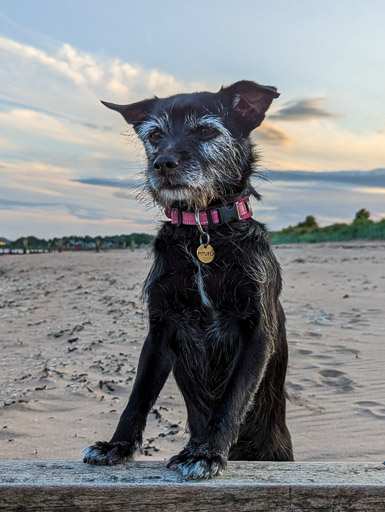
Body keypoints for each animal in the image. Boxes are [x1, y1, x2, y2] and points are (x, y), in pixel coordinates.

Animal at [84, 80, 292, 480]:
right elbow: (138, 396)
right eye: (155, 135)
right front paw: (117, 445)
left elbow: (233, 396)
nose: (162, 163)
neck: (202, 232)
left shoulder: (258, 331)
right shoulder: (161, 329)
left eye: (207, 131)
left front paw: (206, 452)